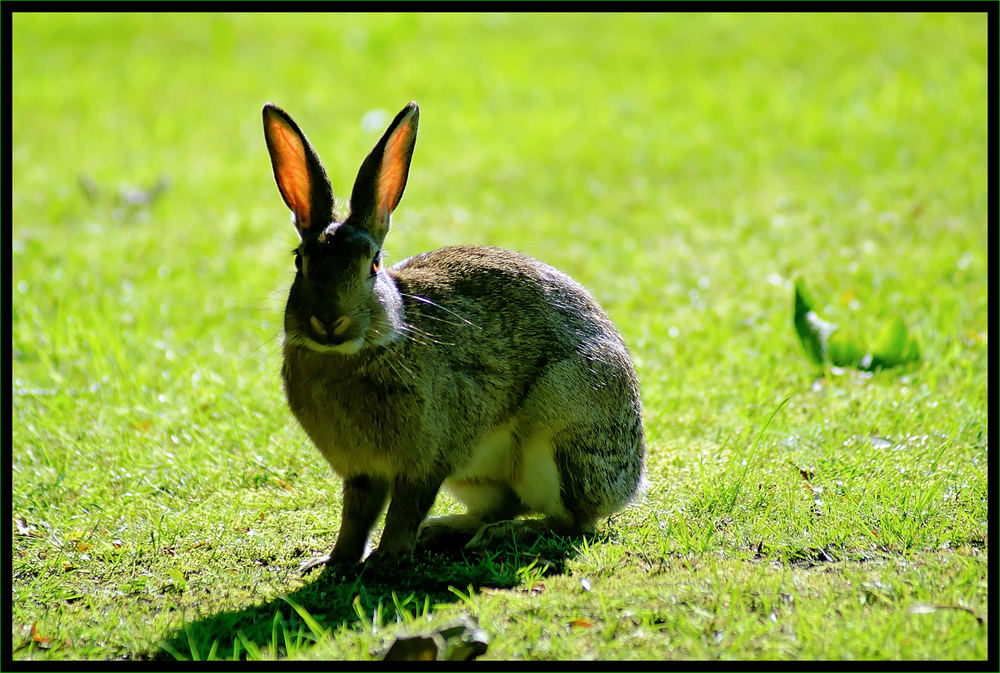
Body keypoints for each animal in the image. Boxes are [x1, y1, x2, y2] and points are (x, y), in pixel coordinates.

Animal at [262, 101, 645, 571]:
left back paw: (497, 535)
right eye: (300, 261)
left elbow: (404, 509)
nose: (329, 322)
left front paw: (387, 559)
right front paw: (332, 563)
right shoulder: (362, 473)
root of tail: (631, 483)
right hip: (477, 476)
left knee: (571, 521)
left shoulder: (425, 460)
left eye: (374, 264)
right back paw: (447, 530)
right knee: (504, 505)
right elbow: (355, 517)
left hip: (557, 431)